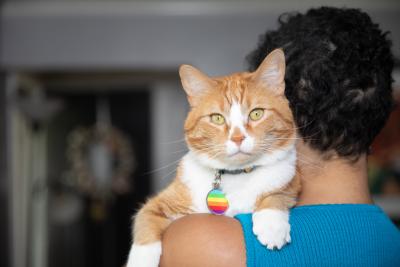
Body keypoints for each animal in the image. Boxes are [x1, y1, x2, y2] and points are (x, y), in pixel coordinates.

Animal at [126, 48, 298, 267]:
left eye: (256, 114)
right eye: (217, 118)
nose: (237, 138)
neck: (236, 176)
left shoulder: (292, 178)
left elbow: (277, 193)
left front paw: (271, 225)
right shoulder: (160, 204)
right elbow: (145, 220)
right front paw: (141, 259)